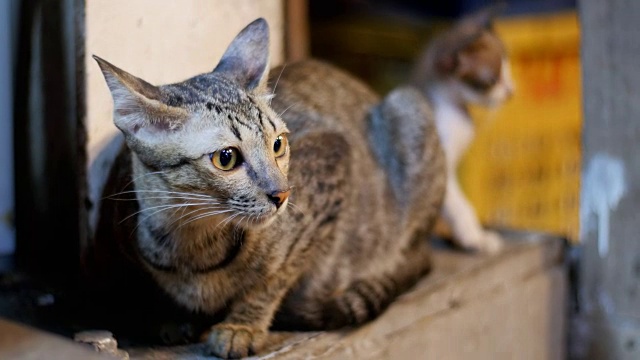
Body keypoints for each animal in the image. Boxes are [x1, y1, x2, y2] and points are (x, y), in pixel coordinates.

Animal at [87, 18, 442, 358]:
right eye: (226, 158)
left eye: (278, 144)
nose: (282, 194)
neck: (193, 246)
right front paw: (170, 316)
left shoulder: (332, 165)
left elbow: (274, 278)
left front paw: (242, 326)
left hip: (409, 106)